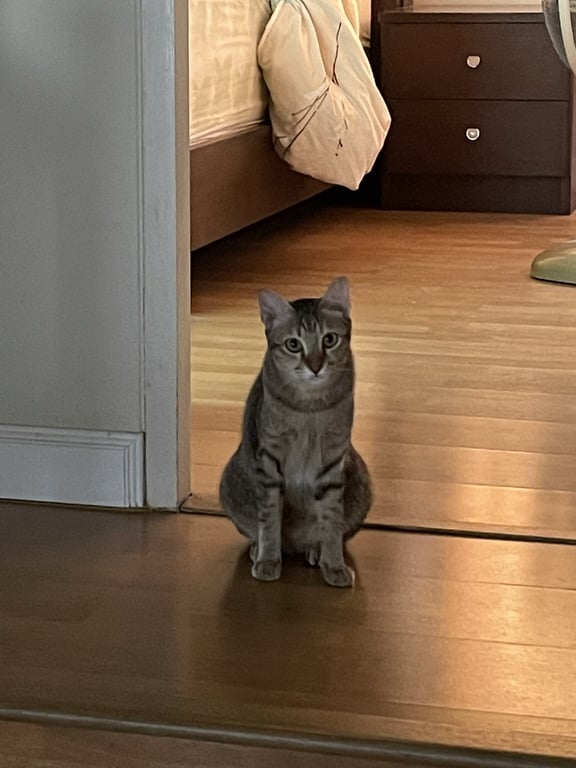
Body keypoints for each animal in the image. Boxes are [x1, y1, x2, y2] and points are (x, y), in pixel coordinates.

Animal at [219, 276, 372, 588]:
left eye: (329, 339)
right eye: (293, 344)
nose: (315, 367)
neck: (309, 408)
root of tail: (294, 546)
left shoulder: (333, 458)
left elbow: (331, 520)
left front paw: (334, 564)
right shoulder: (269, 458)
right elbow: (269, 517)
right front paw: (268, 559)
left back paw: (314, 550)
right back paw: (260, 550)